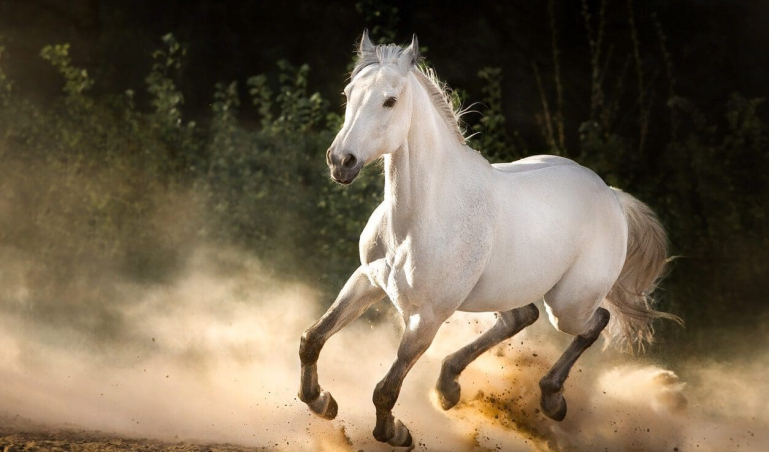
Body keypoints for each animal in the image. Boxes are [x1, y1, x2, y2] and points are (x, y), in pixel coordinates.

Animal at [298, 30, 682, 447]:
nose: (341, 162)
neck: (418, 219)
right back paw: (448, 387)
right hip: (503, 292)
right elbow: (313, 338)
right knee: (522, 317)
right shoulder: (367, 280)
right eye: (349, 92)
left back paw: (551, 399)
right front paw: (321, 401)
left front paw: (397, 433)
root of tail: (612, 195)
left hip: (567, 306)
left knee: (596, 320)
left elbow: (386, 389)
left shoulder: (427, 318)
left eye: (390, 100)